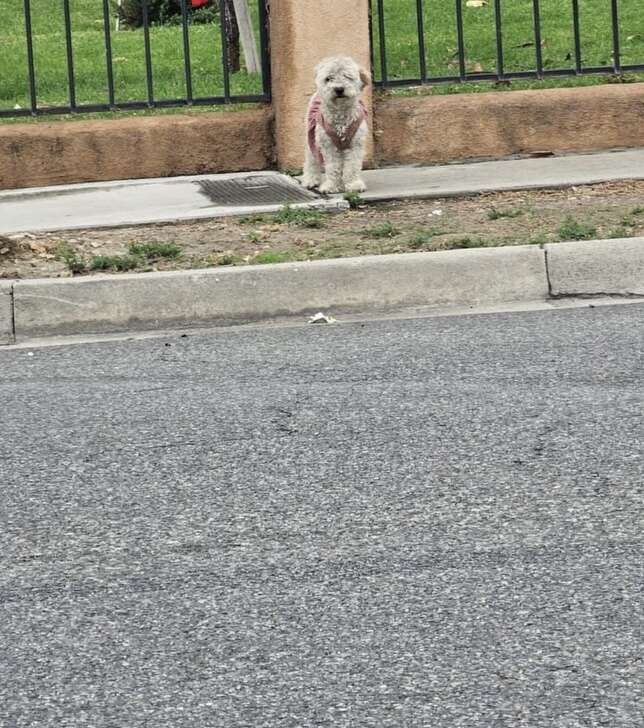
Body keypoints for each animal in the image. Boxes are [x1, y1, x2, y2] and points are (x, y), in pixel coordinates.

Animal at [300, 55, 368, 195]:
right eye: (328, 78)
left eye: (347, 76)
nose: (339, 89)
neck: (340, 113)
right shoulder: (328, 146)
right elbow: (333, 167)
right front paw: (332, 186)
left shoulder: (355, 145)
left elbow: (352, 166)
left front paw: (353, 184)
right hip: (311, 138)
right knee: (311, 160)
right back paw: (311, 179)